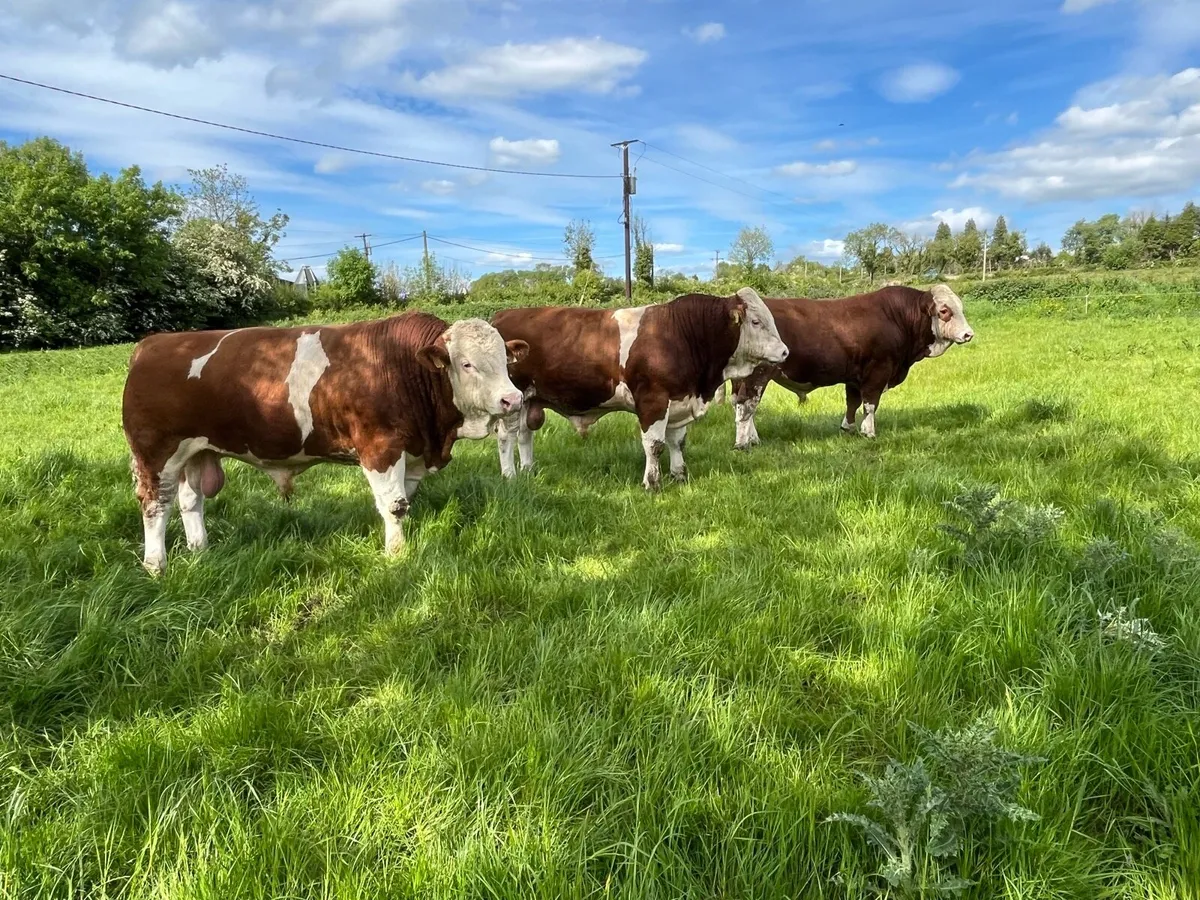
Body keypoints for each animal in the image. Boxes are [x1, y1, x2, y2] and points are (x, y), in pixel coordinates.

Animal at [122, 313, 528, 573]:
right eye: (466, 364)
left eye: (505, 360)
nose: (513, 399)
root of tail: (151, 344)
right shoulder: (379, 449)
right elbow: (394, 506)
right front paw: (397, 555)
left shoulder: (412, 452)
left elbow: (404, 501)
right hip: (156, 454)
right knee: (155, 505)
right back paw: (156, 564)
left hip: (196, 452)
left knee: (190, 501)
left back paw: (200, 550)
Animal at [491, 287, 789, 490]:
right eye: (756, 322)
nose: (785, 351)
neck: (682, 334)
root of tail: (503, 315)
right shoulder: (653, 400)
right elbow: (654, 445)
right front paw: (652, 483)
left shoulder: (680, 400)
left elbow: (677, 441)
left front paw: (679, 475)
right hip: (511, 401)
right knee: (506, 437)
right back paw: (509, 476)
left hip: (530, 400)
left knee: (525, 435)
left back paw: (528, 469)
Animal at [728, 284, 974, 448]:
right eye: (944, 311)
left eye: (961, 307)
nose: (968, 334)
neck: (898, 318)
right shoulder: (878, 371)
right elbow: (870, 404)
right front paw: (869, 432)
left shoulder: (855, 376)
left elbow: (852, 402)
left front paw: (849, 428)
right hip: (758, 375)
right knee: (747, 404)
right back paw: (743, 443)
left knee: (741, 405)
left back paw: (753, 438)